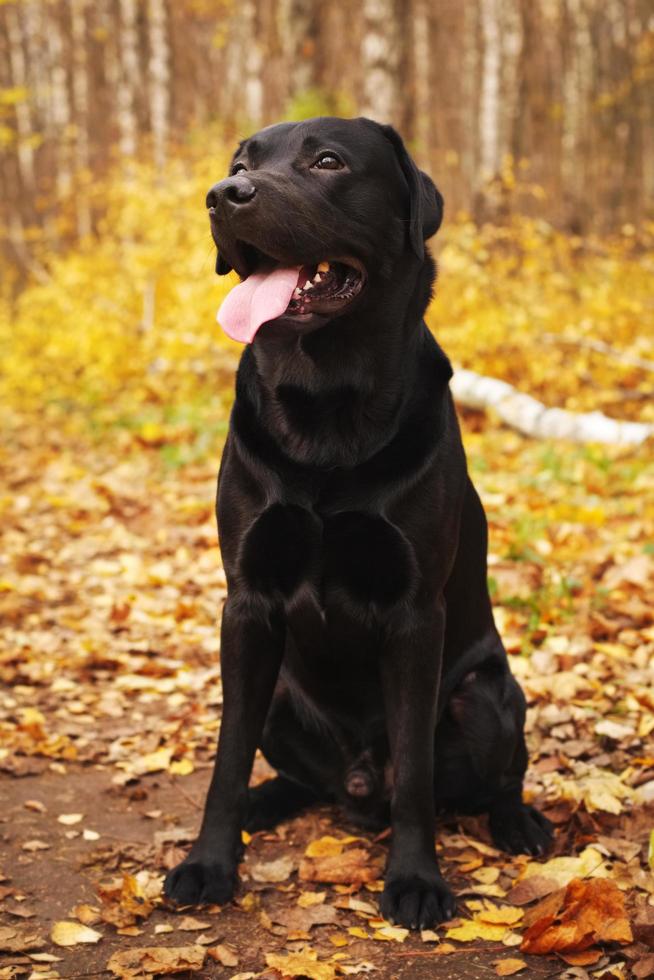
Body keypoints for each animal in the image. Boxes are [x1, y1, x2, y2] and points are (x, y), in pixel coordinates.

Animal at [165, 115, 552, 928]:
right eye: (239, 164)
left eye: (328, 161)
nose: (223, 194)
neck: (326, 408)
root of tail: (356, 784)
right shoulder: (246, 605)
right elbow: (226, 755)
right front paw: (209, 863)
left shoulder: (415, 614)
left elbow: (417, 778)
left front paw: (415, 881)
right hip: (282, 693)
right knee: (292, 772)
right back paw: (266, 803)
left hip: (486, 696)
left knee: (492, 779)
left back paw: (519, 822)